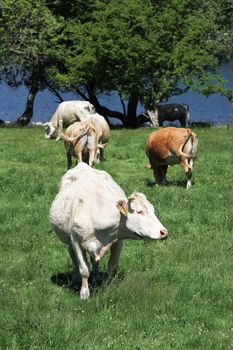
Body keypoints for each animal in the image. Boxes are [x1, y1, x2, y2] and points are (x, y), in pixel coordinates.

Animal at [50, 163, 168, 300]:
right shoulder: (76, 241)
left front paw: (112, 286)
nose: (164, 232)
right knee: (72, 254)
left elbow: (112, 267)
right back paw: (75, 277)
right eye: (139, 212)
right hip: (68, 240)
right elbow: (84, 269)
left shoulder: (118, 241)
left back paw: (95, 277)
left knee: (95, 261)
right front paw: (84, 293)